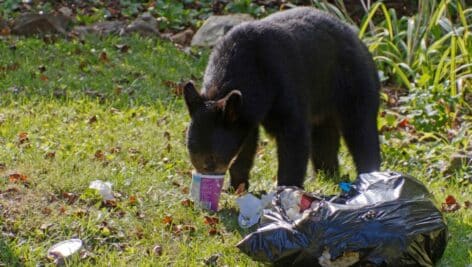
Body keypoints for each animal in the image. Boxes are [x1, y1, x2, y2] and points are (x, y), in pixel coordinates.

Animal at [183, 6, 380, 191]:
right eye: (193, 156)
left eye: (211, 160)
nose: (205, 181)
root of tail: (359, 38)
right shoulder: (245, 112)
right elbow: (247, 143)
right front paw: (236, 186)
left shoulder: (283, 82)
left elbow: (294, 135)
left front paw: (286, 188)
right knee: (324, 138)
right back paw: (327, 175)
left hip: (353, 81)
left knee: (361, 129)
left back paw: (369, 176)